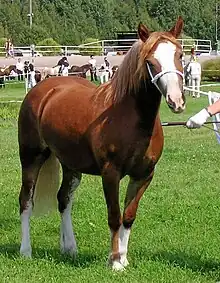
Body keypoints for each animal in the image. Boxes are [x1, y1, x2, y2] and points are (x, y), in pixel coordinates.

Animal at [18, 16, 185, 272]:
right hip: (31, 158)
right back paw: (25, 251)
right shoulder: (111, 174)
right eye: (150, 61)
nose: (176, 101)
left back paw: (70, 248)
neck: (129, 118)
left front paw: (123, 258)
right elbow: (114, 216)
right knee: (26, 201)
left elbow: (128, 216)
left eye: (180, 55)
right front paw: (114, 261)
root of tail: (42, 89)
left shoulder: (144, 175)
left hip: (71, 166)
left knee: (63, 200)